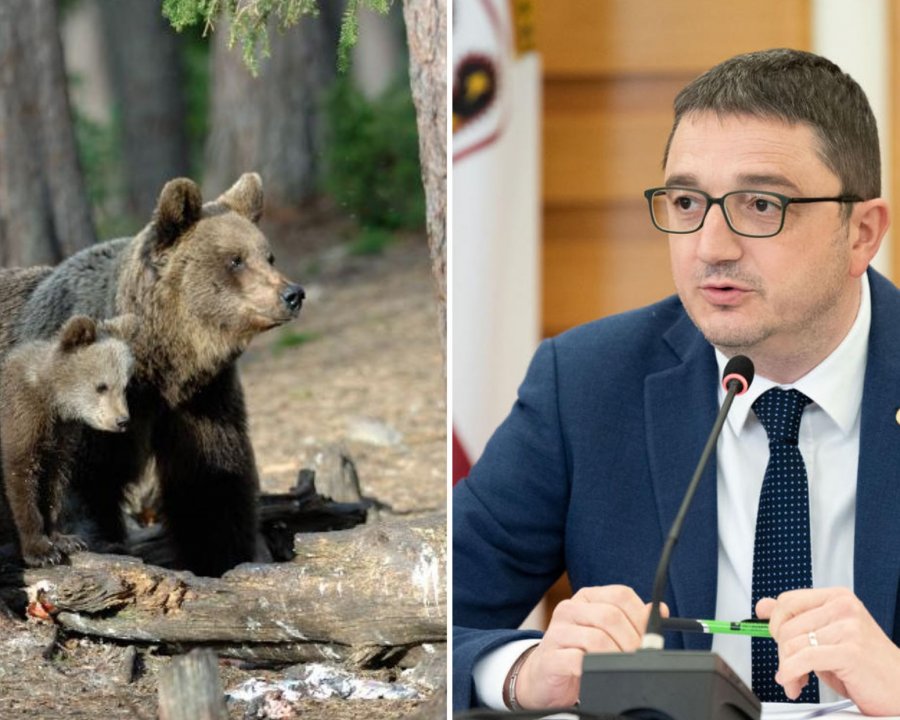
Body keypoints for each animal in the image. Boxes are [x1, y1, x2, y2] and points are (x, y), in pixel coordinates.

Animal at [0, 314, 134, 567]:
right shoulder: (20, 417)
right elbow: (20, 479)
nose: (122, 421)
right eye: (101, 386)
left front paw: (65, 540)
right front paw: (40, 551)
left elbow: (53, 484)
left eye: (125, 386)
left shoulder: (61, 437)